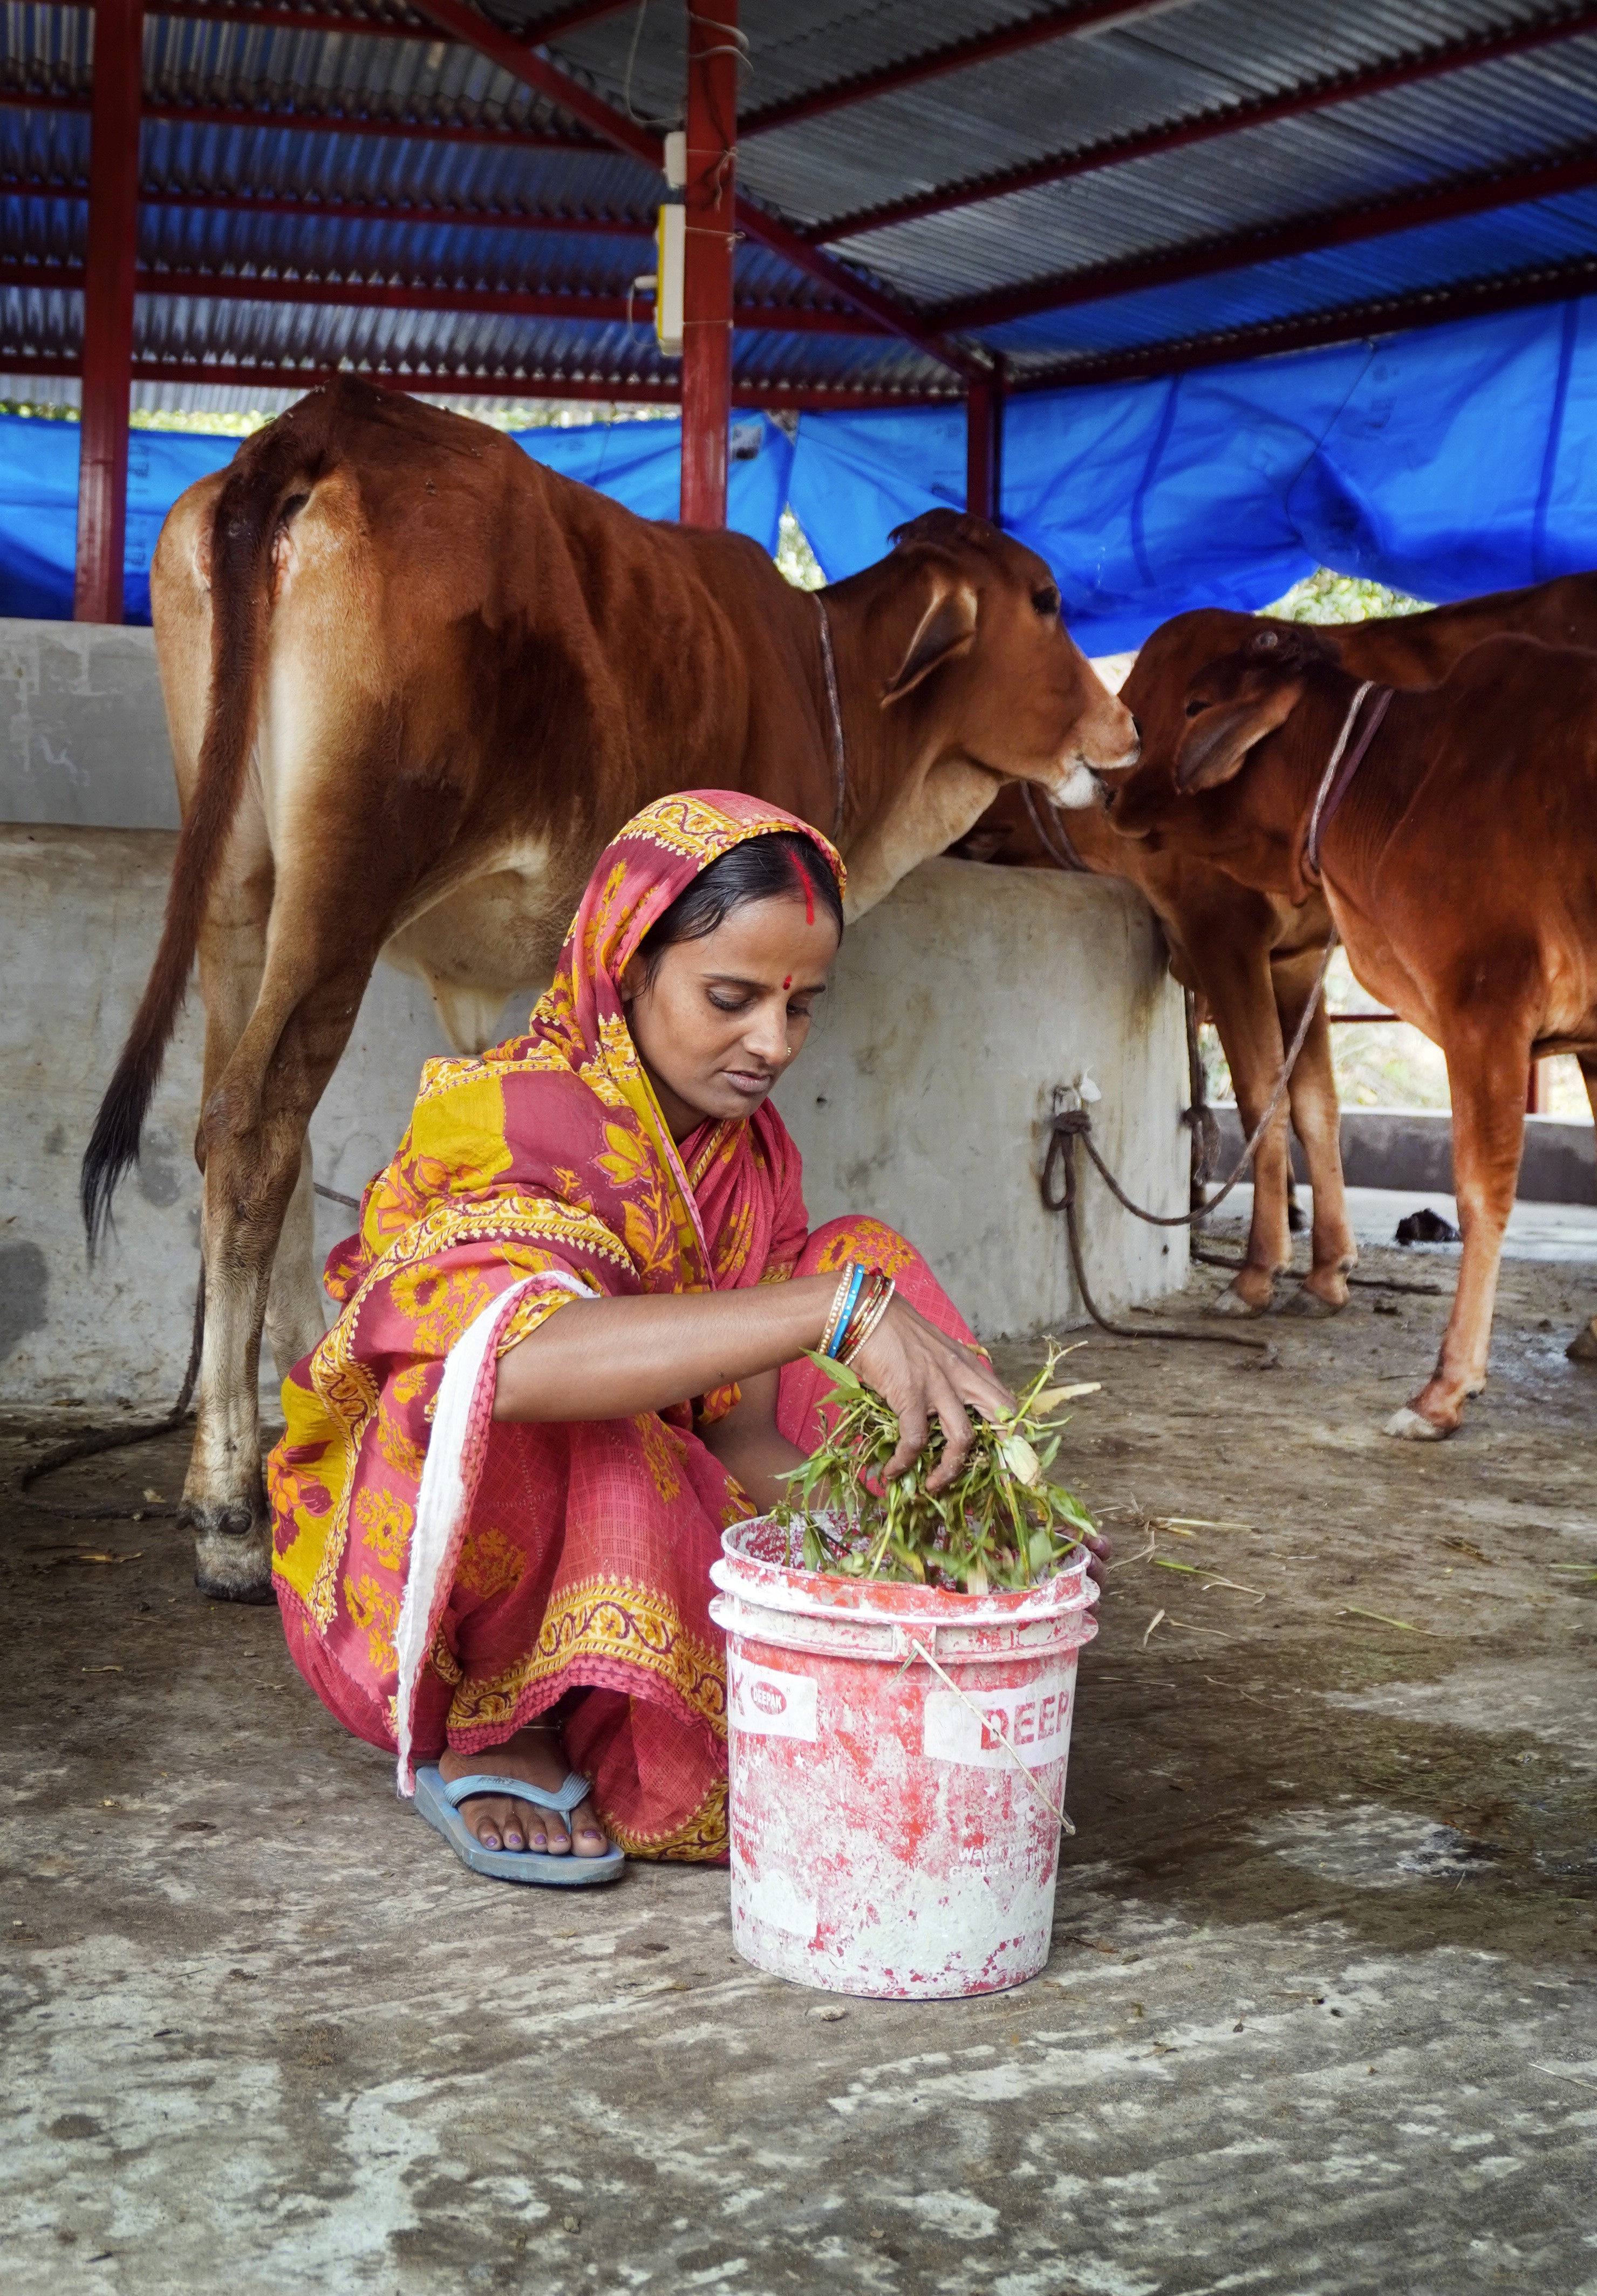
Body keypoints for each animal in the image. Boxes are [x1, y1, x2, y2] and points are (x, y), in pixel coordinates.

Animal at [80, 380, 1138, 1602]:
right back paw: (231, 1514)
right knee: (256, 1131)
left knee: (243, 1127)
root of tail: (326, 419)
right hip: (350, 867)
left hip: (238, 884)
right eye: (1047, 600)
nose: (1125, 727)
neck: (831, 680)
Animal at [964, 577, 1597, 1319]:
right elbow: (1316, 1105)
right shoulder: (1294, 961)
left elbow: (1259, 1099)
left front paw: (1258, 1269)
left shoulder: (1224, 935)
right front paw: (1328, 1269)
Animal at [1075, 614, 1597, 1439]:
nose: (1110, 789)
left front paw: (1445, 1389)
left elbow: (1478, 1192)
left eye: (1195, 704)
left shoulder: (1485, 1009)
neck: (1406, 776)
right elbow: (1310, 1103)